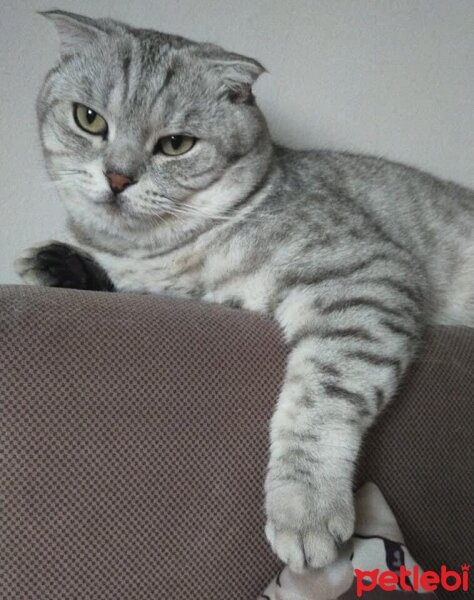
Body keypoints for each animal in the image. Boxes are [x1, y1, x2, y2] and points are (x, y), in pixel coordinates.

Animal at [14, 10, 474, 572]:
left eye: (176, 144)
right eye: (89, 119)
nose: (118, 178)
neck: (147, 253)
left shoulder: (366, 273)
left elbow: (320, 396)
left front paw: (303, 506)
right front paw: (57, 264)